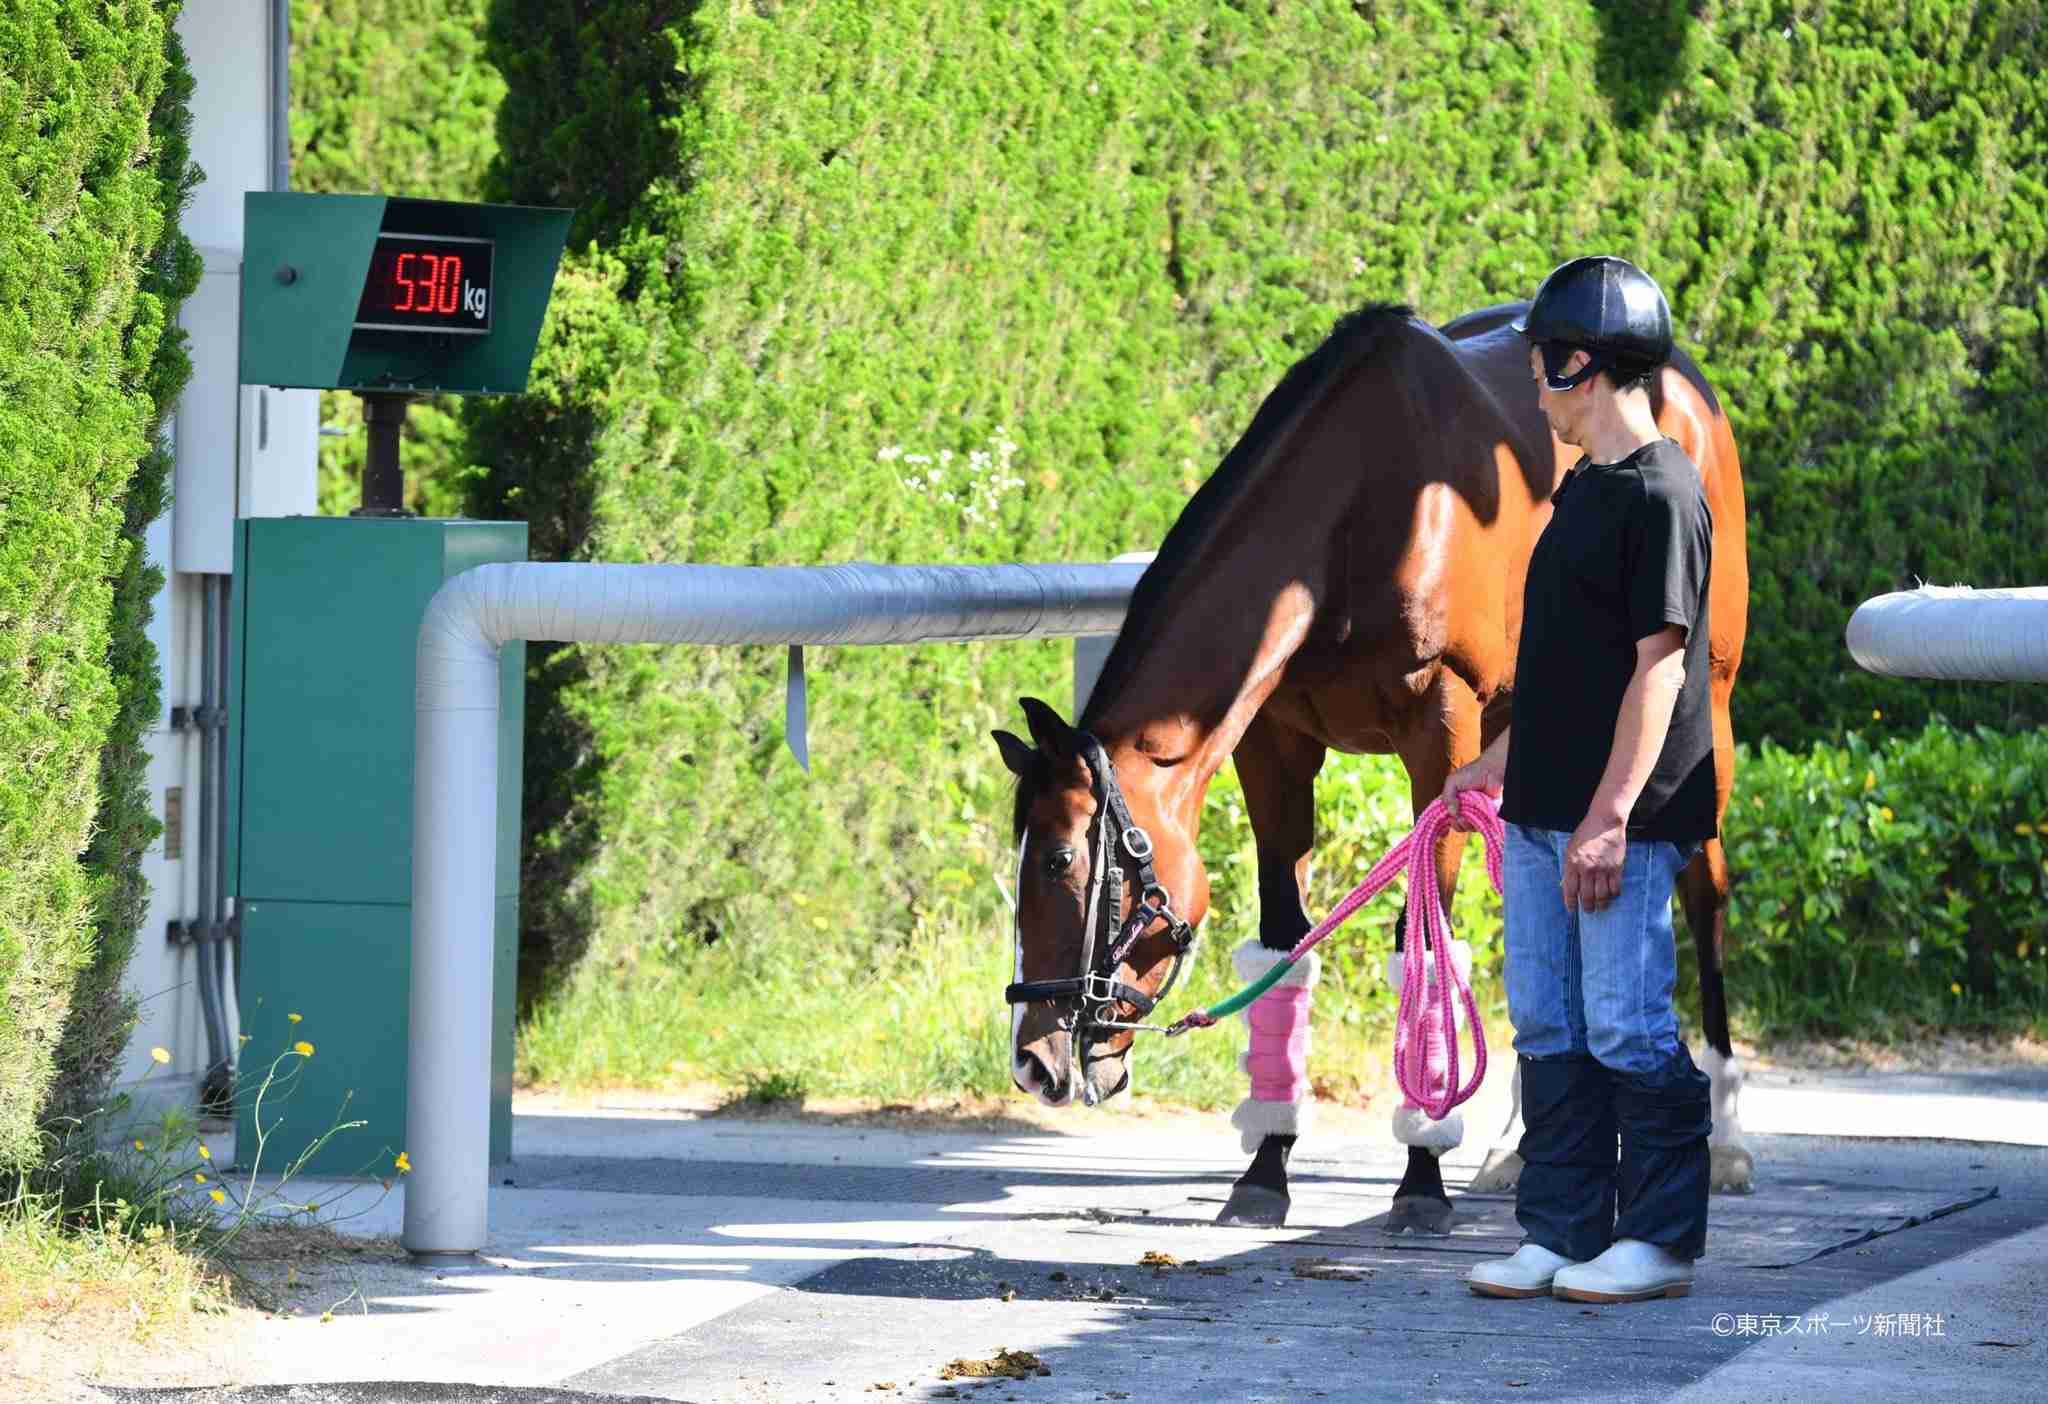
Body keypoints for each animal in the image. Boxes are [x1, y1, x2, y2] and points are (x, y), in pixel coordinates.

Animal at [994, 300, 1752, 1230]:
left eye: (1063, 860)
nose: (1035, 1063)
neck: (1352, 520)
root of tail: (1686, 386)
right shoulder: (1273, 743)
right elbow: (1285, 946)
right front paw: (1266, 1169)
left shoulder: (1442, 735)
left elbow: (1424, 943)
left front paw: (1421, 1178)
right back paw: (1514, 1145)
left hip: (1700, 710)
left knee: (1705, 892)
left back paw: (1725, 1138)